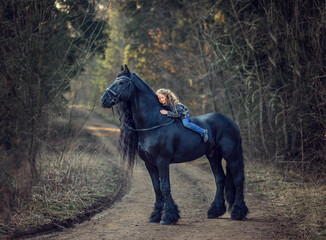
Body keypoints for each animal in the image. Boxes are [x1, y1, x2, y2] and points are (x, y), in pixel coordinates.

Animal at [100, 64, 248, 225]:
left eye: (121, 82)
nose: (104, 100)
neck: (154, 123)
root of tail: (231, 122)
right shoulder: (149, 163)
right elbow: (156, 187)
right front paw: (155, 216)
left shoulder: (162, 161)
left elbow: (165, 187)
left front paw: (168, 217)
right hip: (213, 155)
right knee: (220, 179)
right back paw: (214, 211)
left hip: (232, 155)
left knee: (238, 179)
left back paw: (238, 212)